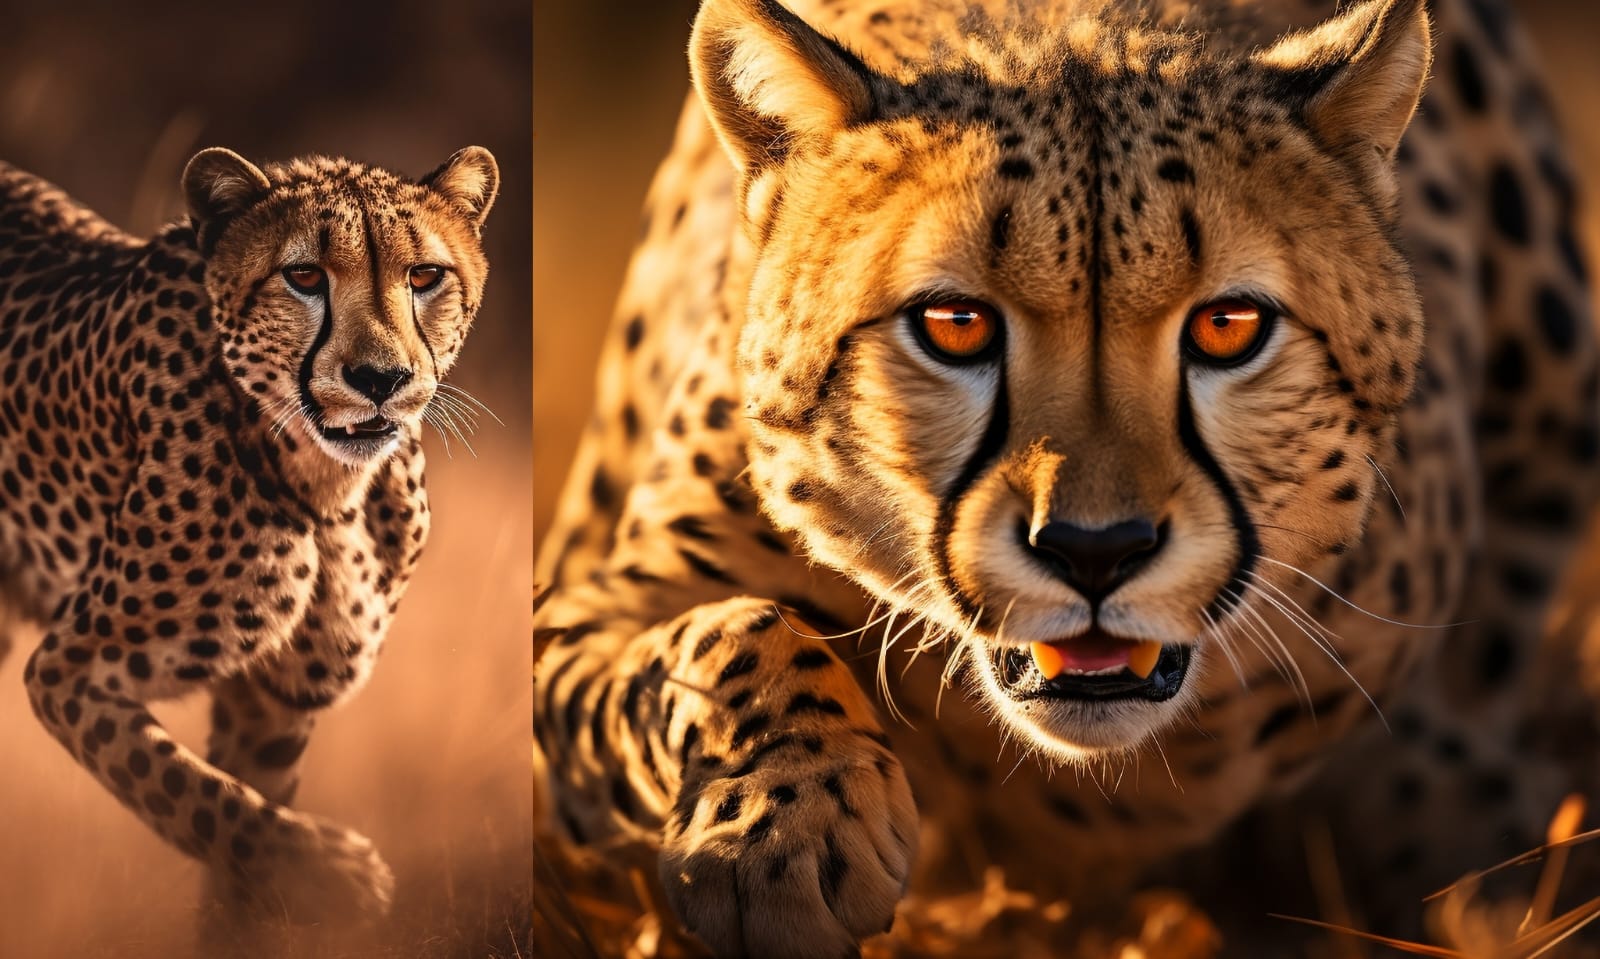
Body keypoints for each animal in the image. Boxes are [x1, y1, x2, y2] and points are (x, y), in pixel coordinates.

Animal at [0, 144, 497, 925]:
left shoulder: (274, 698)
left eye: (424, 277)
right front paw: (334, 873)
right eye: (304, 277)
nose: (380, 378)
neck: (327, 491)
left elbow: (239, 828)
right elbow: (188, 792)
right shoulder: (67, 670)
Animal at [533, 0, 1599, 953]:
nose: (1096, 551)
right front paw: (780, 827)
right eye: (954, 324)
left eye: (1230, 326)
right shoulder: (572, 616)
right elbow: (726, 635)